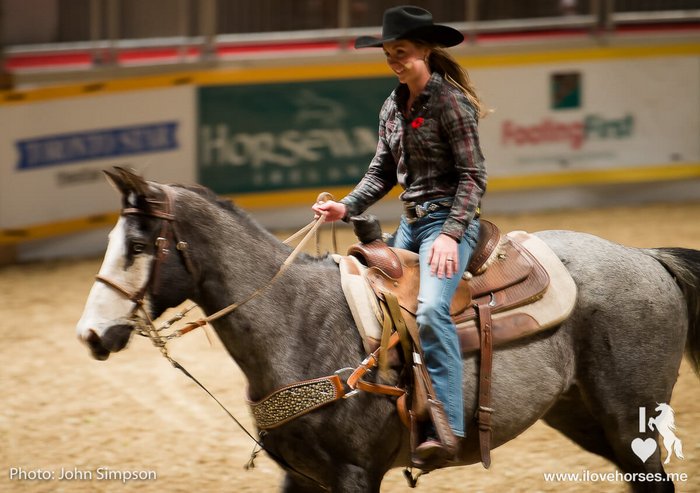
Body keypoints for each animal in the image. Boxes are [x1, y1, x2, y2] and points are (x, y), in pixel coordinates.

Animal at [76, 168, 700, 492]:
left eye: (138, 245)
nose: (89, 335)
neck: (296, 321)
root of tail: (647, 257)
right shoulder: (305, 477)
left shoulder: (355, 474)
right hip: (581, 415)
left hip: (627, 416)